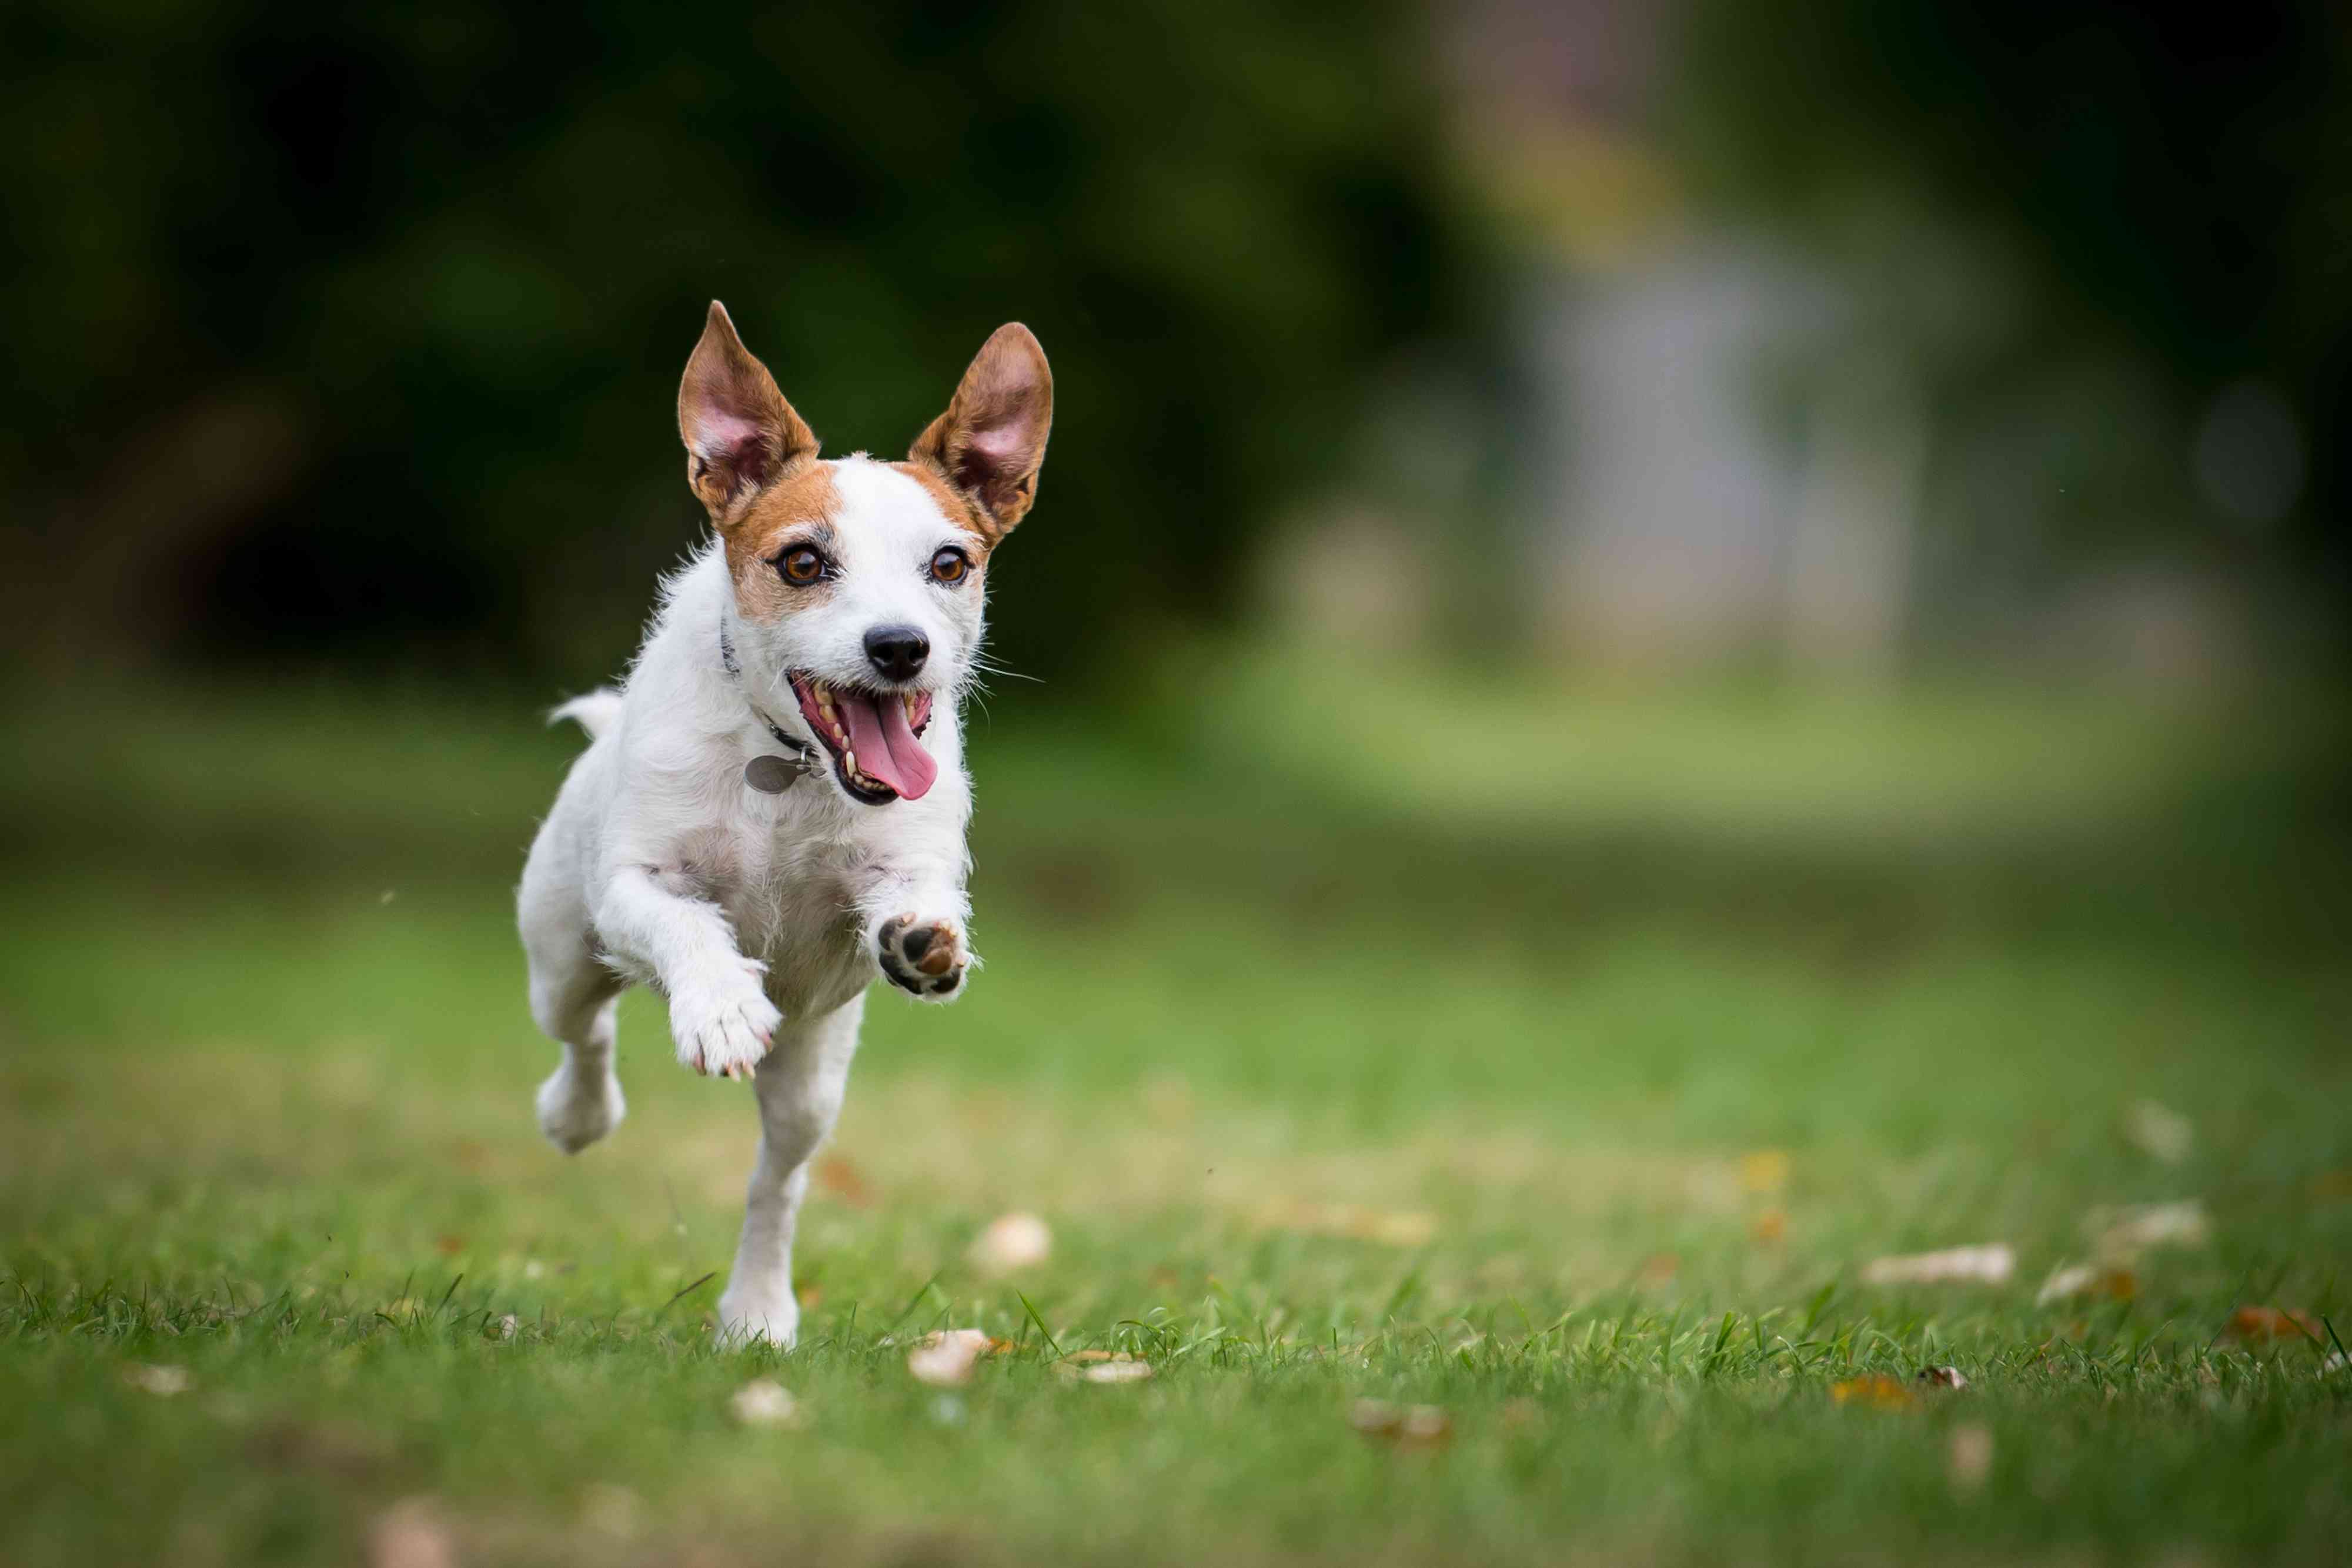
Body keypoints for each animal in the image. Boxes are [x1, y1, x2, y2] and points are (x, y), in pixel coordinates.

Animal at [524, 305, 1058, 1354]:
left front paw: (925, 939)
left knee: (776, 1182)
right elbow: (684, 921)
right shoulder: (633, 884)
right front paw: (721, 1005)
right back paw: (578, 1114)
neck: (787, 761)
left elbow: (910, 896)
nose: (900, 647)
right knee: (586, 1030)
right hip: (560, 950)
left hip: (813, 1077)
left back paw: (759, 1310)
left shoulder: (899, 863)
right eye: (803, 561)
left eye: (950, 563)